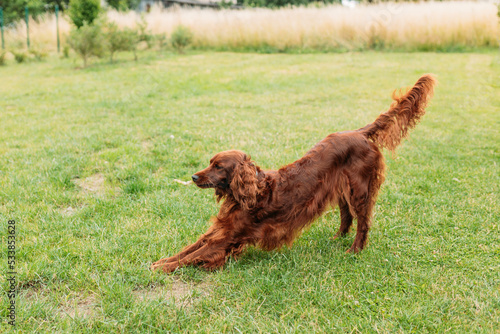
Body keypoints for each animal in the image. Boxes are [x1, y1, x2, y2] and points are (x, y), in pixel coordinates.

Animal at [150, 74, 436, 272]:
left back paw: (354, 250)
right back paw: (337, 238)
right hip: (341, 188)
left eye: (219, 166)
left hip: (360, 189)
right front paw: (163, 260)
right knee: (346, 216)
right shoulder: (218, 231)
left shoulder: (226, 238)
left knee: (363, 222)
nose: (193, 177)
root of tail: (360, 132)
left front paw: (162, 268)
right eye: (210, 162)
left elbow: (194, 255)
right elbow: (189, 248)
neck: (248, 194)